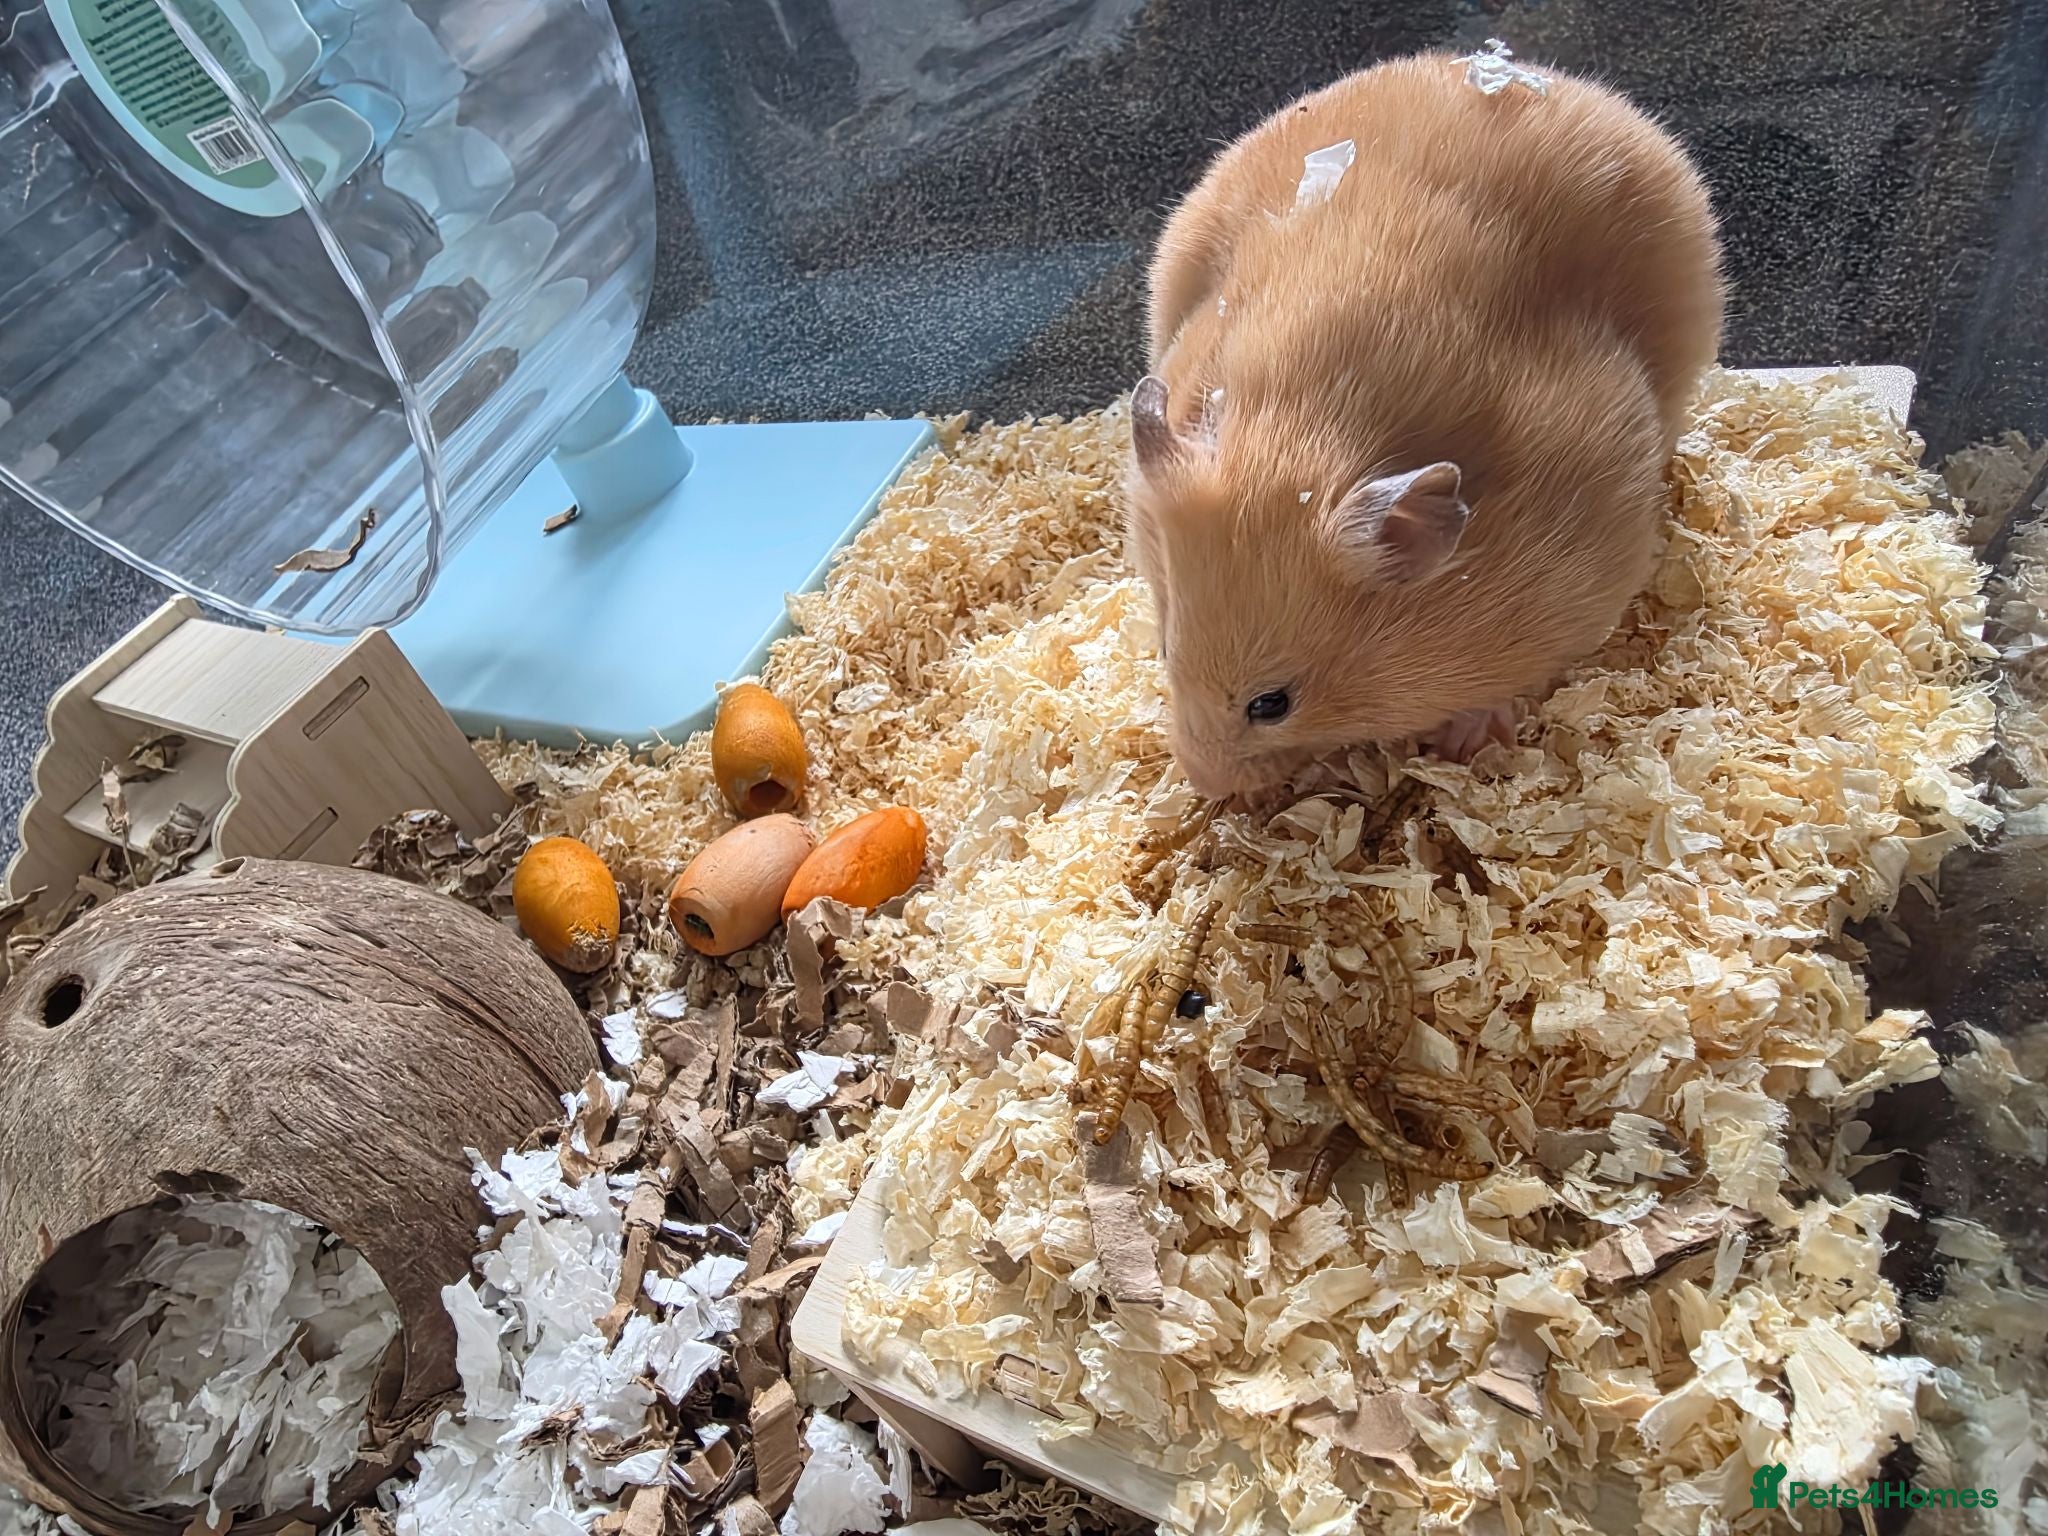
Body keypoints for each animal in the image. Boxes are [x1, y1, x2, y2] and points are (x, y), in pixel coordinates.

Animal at [1125, 50, 1724, 800]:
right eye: (1164, 648)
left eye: (1272, 703)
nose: (1202, 782)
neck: (1303, 428)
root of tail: (1528, 68)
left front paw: (1462, 739)